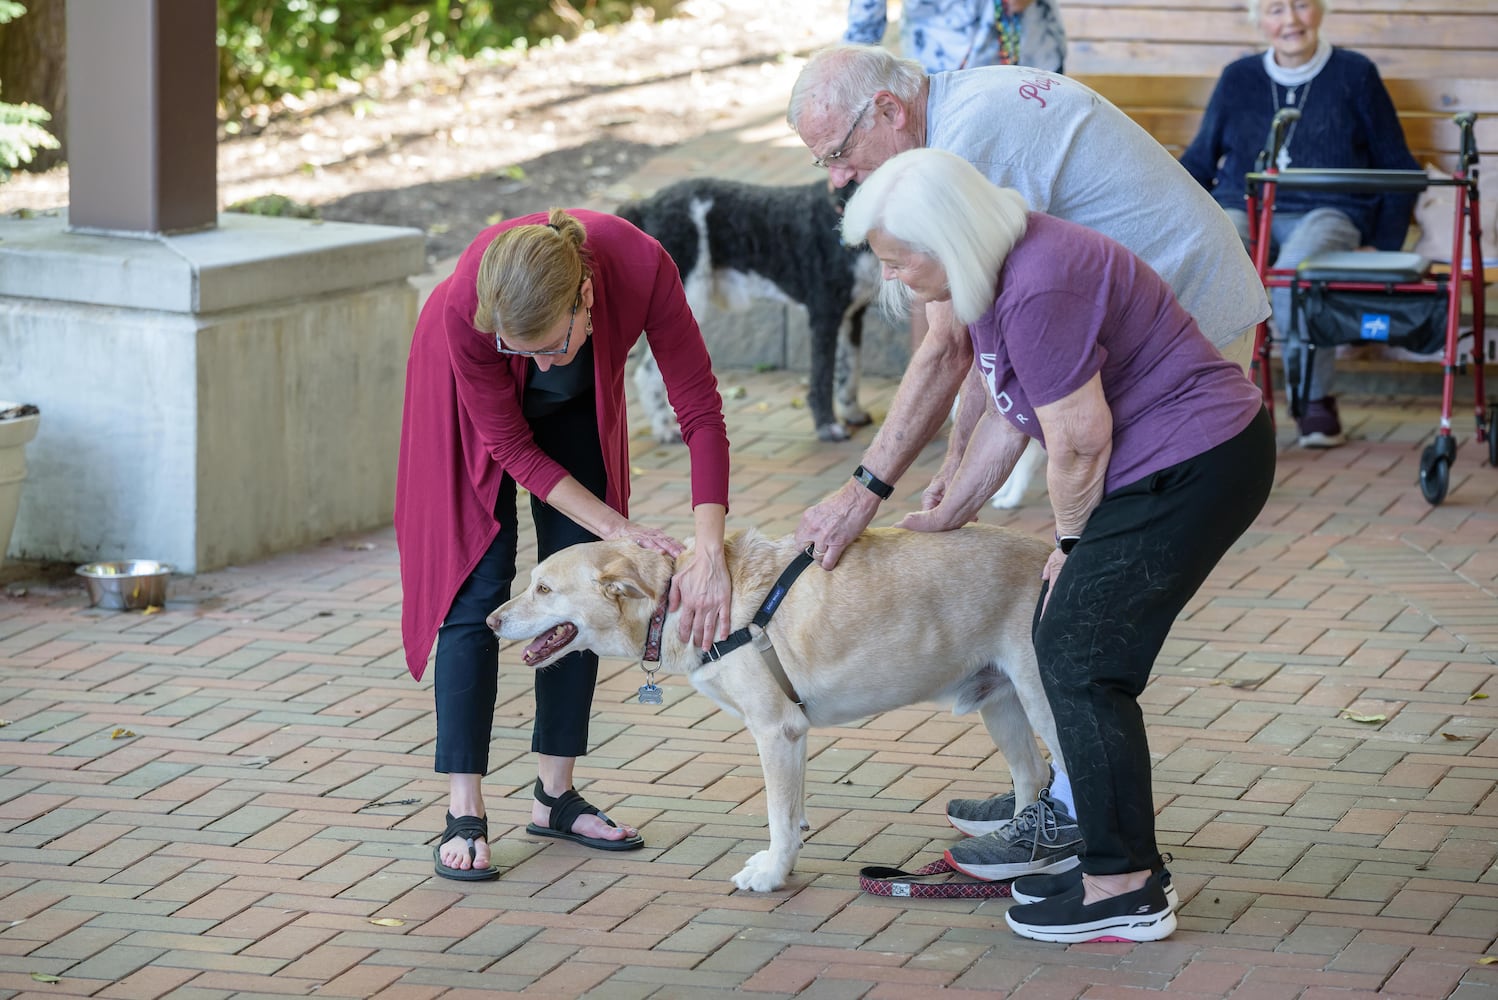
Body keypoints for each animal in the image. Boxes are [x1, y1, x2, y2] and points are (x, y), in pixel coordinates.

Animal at [485, 523, 1060, 892]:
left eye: (543, 588)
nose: (490, 620)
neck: (678, 600)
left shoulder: (775, 730)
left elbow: (777, 816)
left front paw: (772, 875)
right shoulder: (791, 734)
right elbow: (792, 811)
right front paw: (781, 858)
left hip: (1042, 702)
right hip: (1000, 702)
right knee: (1032, 775)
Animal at [617, 176, 874, 440]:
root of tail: (645, 206)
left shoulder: (853, 314)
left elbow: (850, 368)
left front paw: (852, 412)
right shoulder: (824, 313)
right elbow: (823, 375)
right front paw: (827, 426)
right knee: (647, 372)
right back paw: (665, 429)